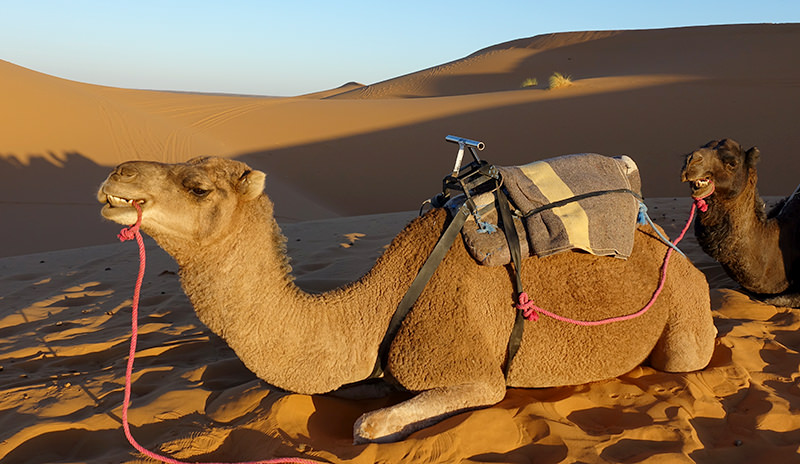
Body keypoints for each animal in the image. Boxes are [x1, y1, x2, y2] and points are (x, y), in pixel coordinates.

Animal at [98, 156, 716, 444]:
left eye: (199, 187)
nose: (117, 176)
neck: (373, 307)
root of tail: (664, 242)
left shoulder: (474, 373)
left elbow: (367, 427)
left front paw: (395, 426)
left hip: (685, 319)